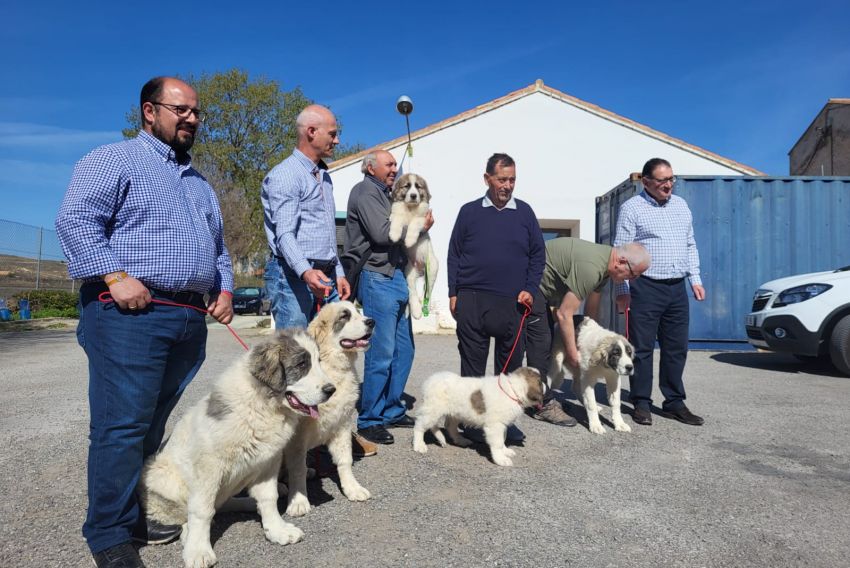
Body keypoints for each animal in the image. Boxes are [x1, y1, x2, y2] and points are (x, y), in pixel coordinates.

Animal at [137, 332, 332, 568]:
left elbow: (269, 497)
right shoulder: (209, 467)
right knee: (186, 514)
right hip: (161, 476)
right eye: (302, 364)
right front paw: (198, 550)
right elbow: (202, 510)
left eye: (319, 361)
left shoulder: (268, 461)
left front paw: (277, 529)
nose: (331, 390)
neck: (264, 404)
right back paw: (188, 533)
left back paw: (250, 502)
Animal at [282, 304, 374, 516]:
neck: (332, 369)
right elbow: (297, 468)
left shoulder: (342, 425)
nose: (372, 322)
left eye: (358, 311)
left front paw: (352, 488)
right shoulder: (296, 438)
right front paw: (298, 500)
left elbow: (345, 460)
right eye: (344, 316)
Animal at [386, 172, 438, 320]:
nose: (414, 196)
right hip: (409, 272)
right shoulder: (395, 214)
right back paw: (416, 311)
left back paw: (423, 307)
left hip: (432, 268)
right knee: (412, 292)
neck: (410, 209)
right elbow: (397, 220)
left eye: (418, 187)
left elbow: (415, 223)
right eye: (407, 186)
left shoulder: (423, 218)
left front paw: (409, 240)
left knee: (428, 290)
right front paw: (394, 235)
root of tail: (420, 269)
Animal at [410, 368, 544, 466]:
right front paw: (500, 459)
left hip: (453, 412)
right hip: (433, 409)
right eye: (542, 383)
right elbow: (497, 442)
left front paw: (505, 451)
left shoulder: (502, 424)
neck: (512, 390)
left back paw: (458, 440)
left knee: (447, 426)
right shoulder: (495, 425)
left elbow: (503, 439)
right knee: (419, 426)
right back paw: (419, 445)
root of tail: (430, 381)